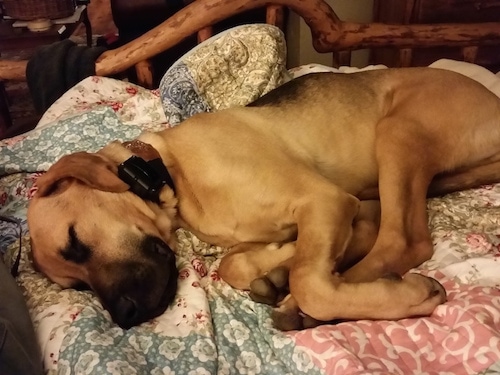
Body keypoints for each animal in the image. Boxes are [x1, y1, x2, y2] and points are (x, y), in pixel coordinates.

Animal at [26, 67, 500, 328]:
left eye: (75, 242)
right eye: (76, 287)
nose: (126, 318)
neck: (169, 171)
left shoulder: (324, 199)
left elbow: (312, 281)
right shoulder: (328, 209)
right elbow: (236, 265)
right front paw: (280, 261)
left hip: (398, 133)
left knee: (404, 241)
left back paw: (311, 306)